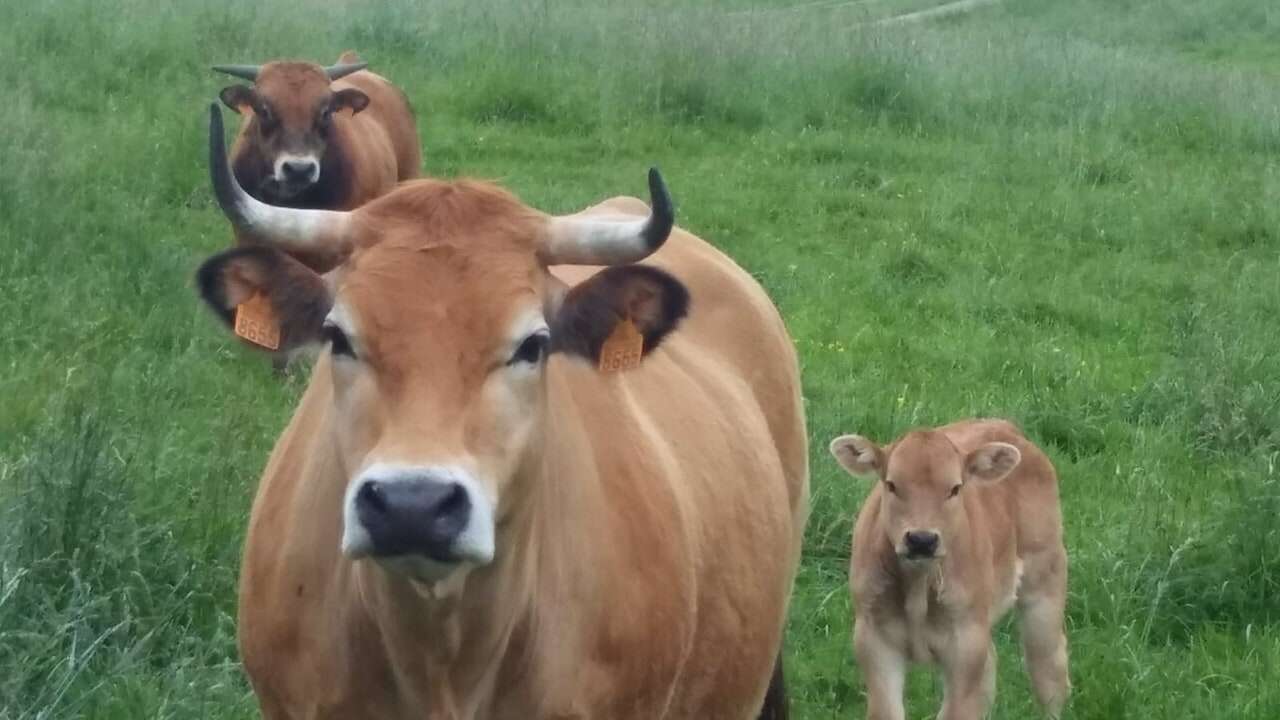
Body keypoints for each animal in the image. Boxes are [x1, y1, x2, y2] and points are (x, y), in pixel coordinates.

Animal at [829, 417, 1070, 717]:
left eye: (955, 488)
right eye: (892, 484)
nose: (922, 540)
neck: (918, 587)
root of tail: (1004, 424)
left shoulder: (965, 645)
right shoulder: (873, 638)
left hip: (1045, 577)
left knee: (1048, 667)